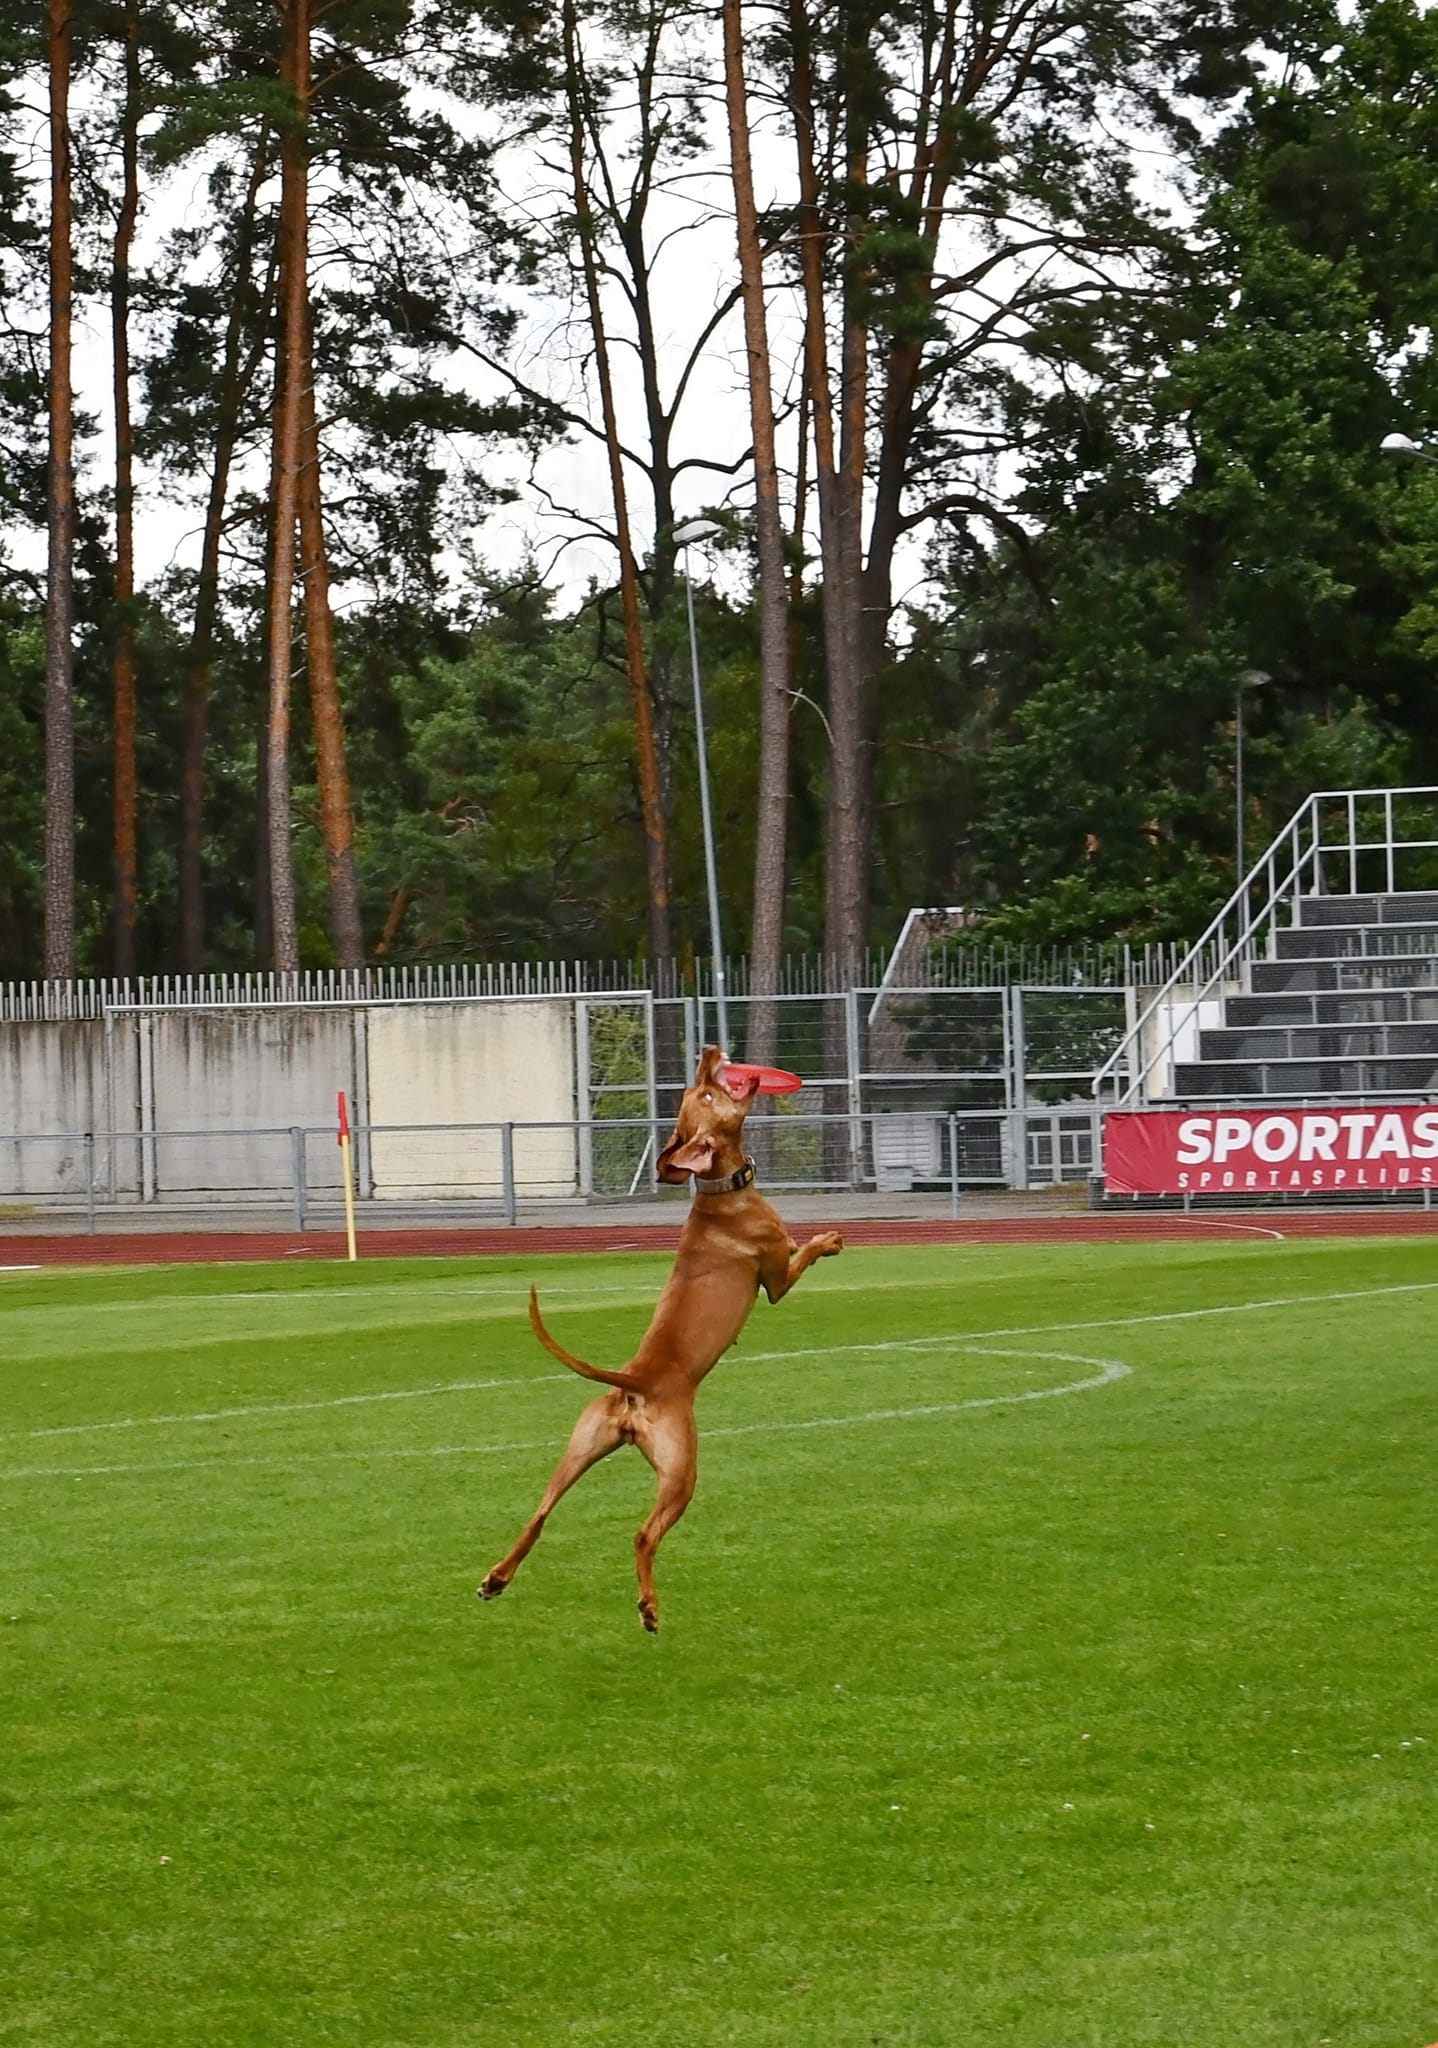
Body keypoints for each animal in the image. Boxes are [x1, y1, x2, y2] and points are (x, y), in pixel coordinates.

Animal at [479, 1045, 844, 1629]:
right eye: (709, 1094)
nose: (709, 1052)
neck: (720, 1193)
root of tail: (637, 1385)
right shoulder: (776, 1281)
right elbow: (800, 1252)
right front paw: (828, 1240)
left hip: (579, 1450)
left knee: (538, 1515)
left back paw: (497, 1578)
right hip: (681, 1472)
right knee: (644, 1535)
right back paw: (649, 1606)